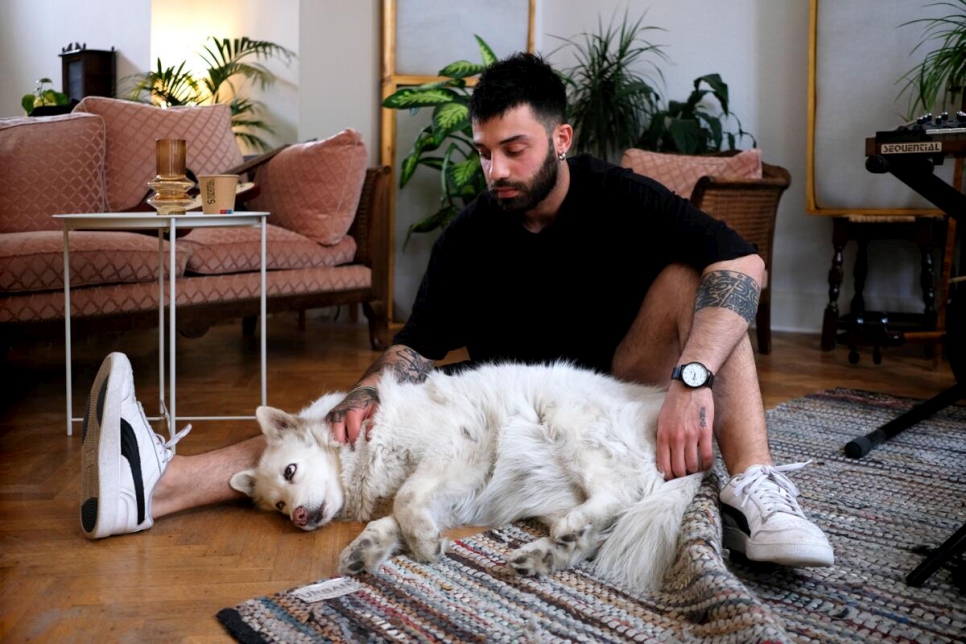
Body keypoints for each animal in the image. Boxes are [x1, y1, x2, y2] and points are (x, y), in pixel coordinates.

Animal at [232, 360, 708, 592]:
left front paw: (423, 546)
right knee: (596, 537)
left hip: (570, 428)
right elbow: (394, 518)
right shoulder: (450, 493)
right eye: (278, 506)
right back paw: (544, 556)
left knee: (620, 494)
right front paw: (369, 548)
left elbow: (405, 500)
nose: (297, 518)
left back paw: (565, 534)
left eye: (291, 471)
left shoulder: (454, 453)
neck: (367, 443)